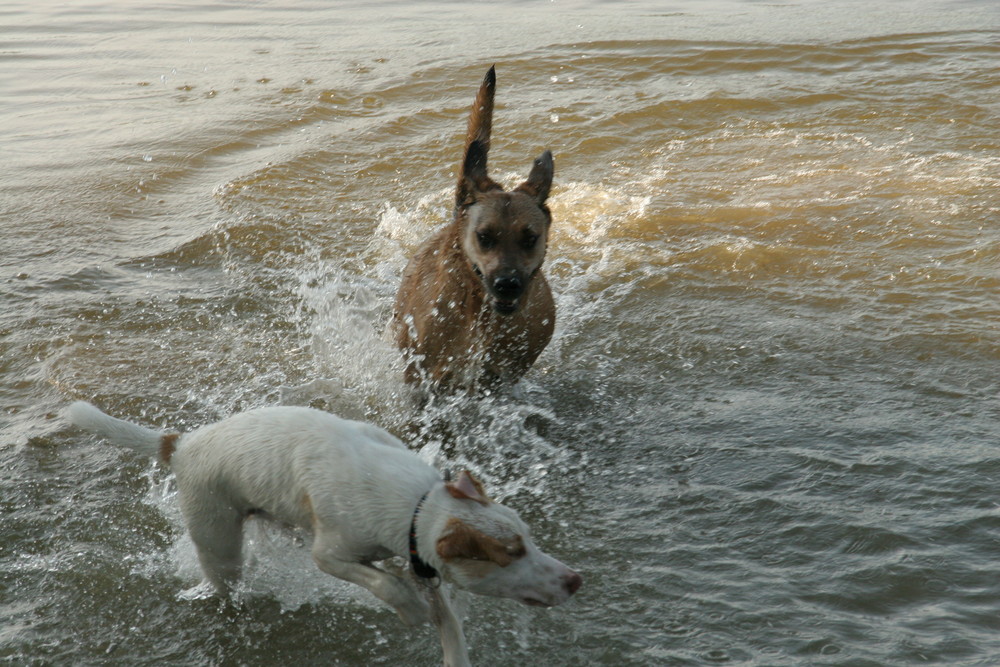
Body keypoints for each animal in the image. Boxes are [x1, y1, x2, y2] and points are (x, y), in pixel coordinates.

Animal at [66, 402, 584, 667]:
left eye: (529, 539)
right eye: (511, 553)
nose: (577, 579)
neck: (415, 504)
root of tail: (181, 443)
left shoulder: (420, 562)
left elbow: (449, 626)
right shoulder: (330, 554)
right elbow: (384, 585)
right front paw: (409, 609)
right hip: (219, 543)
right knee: (225, 582)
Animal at [394, 66, 560, 394]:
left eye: (530, 239)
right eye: (484, 237)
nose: (507, 284)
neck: (479, 316)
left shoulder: (498, 376)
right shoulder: (428, 376)